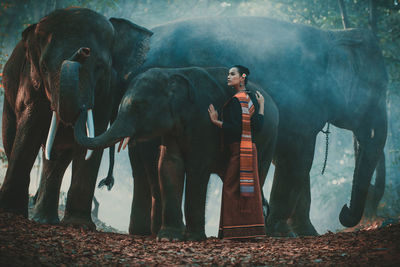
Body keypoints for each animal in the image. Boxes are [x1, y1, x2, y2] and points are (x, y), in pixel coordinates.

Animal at [0, 7, 153, 229]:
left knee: (57, 159)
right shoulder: (31, 82)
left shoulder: (105, 92)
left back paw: (46, 220)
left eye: (99, 67)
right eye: (44, 67)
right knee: (13, 140)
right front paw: (11, 212)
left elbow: (94, 136)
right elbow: (30, 127)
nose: (83, 51)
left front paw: (78, 225)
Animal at [74, 66, 278, 241]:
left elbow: (197, 167)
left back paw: (250, 236)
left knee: (258, 173)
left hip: (266, 142)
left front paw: (193, 238)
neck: (173, 73)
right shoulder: (172, 127)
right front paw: (168, 238)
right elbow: (169, 164)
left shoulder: (204, 123)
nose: (84, 106)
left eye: (139, 106)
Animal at [116, 17, 388, 239]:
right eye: (380, 88)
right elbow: (299, 159)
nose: (344, 211)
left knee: (139, 163)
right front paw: (283, 232)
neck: (332, 35)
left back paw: (142, 231)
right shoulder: (301, 101)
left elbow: (293, 160)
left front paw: (306, 233)